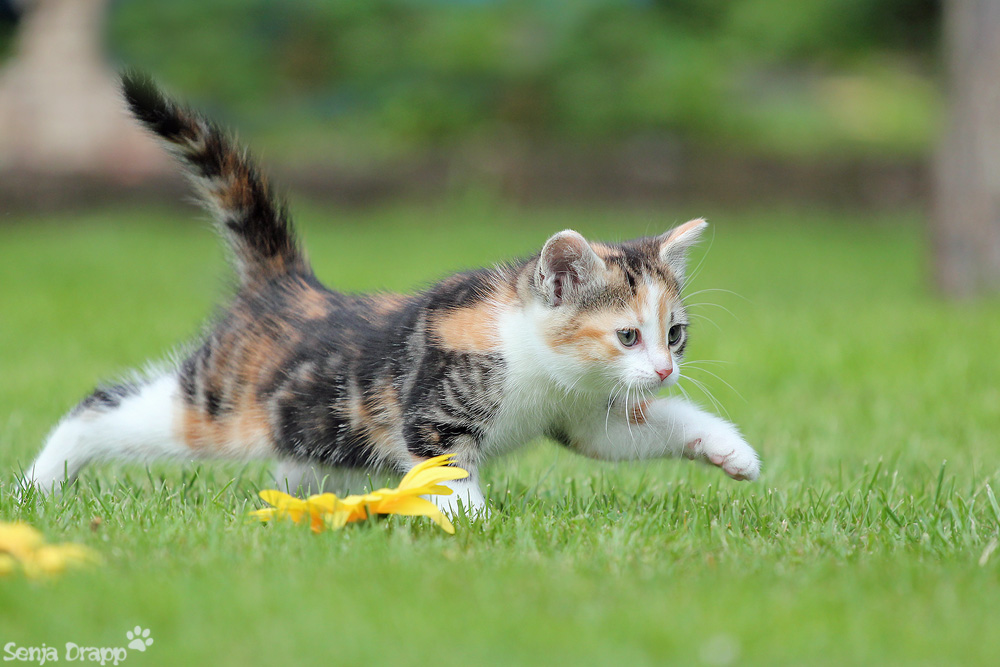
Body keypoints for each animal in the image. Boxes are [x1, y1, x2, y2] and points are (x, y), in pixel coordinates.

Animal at [21, 73, 756, 516]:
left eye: (674, 334)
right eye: (627, 335)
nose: (663, 370)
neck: (535, 359)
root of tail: (288, 284)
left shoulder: (582, 413)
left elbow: (631, 433)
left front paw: (730, 451)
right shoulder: (434, 408)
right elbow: (447, 466)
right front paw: (473, 521)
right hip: (218, 406)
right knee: (103, 406)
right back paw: (41, 481)